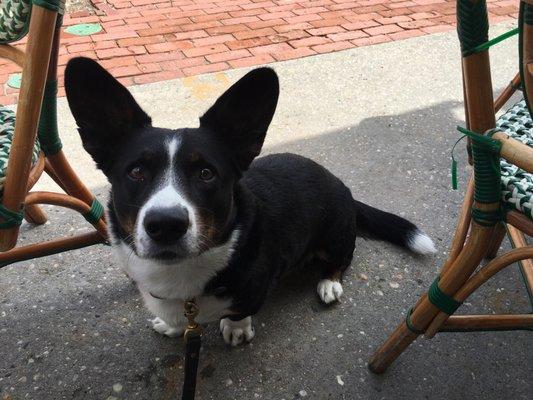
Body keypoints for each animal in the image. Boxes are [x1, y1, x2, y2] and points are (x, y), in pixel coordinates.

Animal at [64, 57, 434, 346]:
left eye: (206, 173)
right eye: (137, 171)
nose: (166, 225)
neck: (183, 273)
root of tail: (342, 186)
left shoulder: (254, 290)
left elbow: (242, 312)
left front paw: (236, 328)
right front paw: (171, 326)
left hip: (335, 236)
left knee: (343, 258)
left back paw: (329, 283)